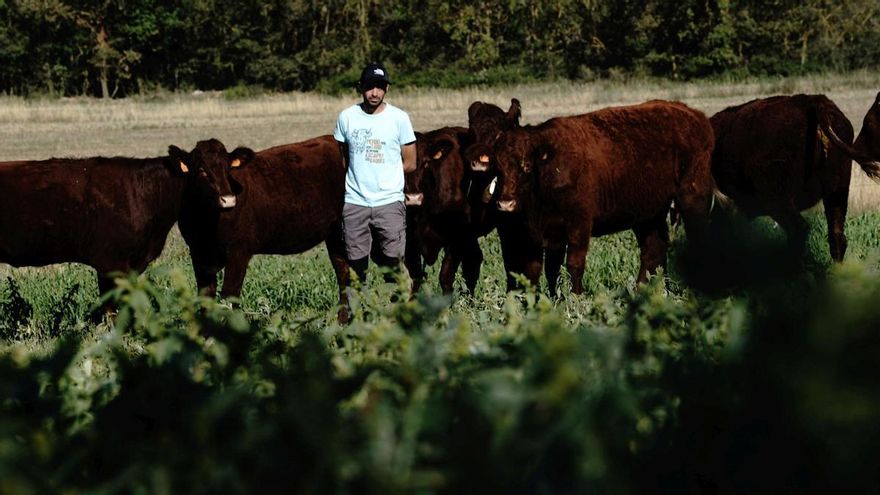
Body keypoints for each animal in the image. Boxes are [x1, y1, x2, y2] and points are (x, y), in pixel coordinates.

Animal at [168, 137, 350, 322]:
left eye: (228, 169)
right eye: (201, 170)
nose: (228, 199)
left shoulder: (239, 252)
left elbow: (230, 296)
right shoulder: (198, 253)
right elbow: (206, 298)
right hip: (334, 234)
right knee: (342, 269)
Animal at [468, 100, 716, 294]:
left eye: (527, 166)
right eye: (498, 167)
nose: (505, 203)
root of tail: (694, 114)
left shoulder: (579, 223)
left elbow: (574, 265)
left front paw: (575, 298)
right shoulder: (543, 234)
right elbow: (541, 270)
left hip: (692, 198)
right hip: (648, 213)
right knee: (653, 248)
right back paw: (643, 290)